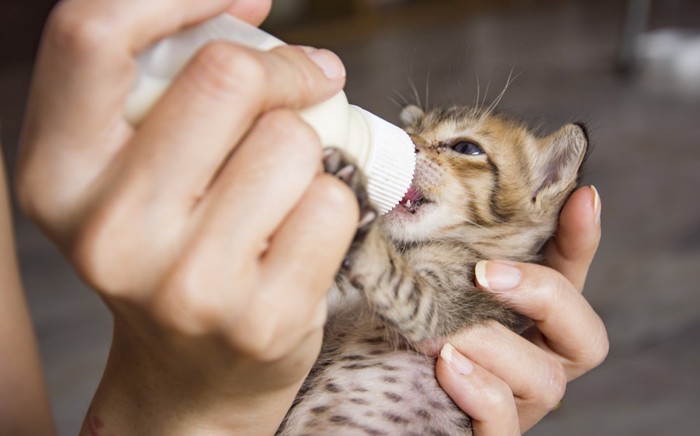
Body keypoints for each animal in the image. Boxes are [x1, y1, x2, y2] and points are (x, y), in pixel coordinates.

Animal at [276, 104, 588, 434]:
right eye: (413, 130)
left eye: (466, 148)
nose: (408, 141)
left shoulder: (443, 309)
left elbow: (397, 279)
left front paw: (360, 208)